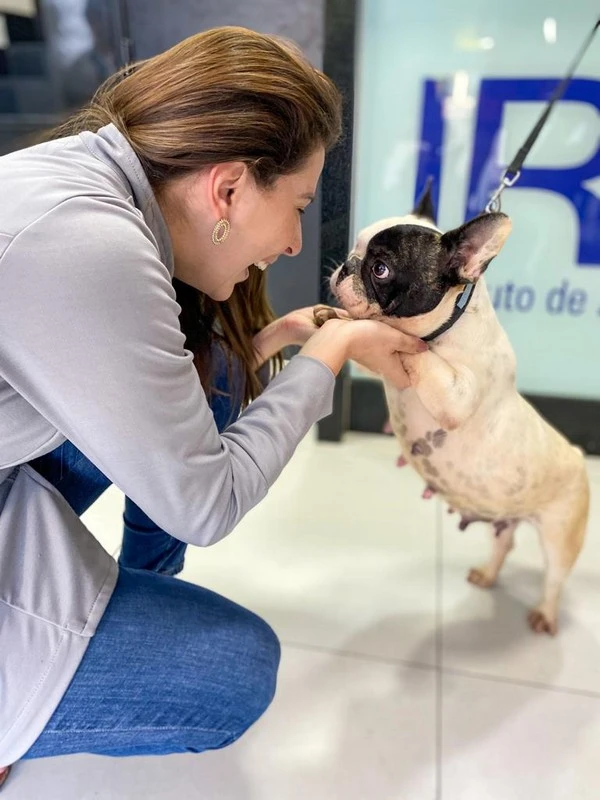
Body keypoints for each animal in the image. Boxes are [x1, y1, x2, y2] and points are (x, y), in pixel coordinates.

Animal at [326, 184, 588, 636]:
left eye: (380, 269)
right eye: (354, 248)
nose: (346, 266)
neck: (449, 322)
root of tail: (576, 456)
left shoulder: (456, 393)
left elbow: (417, 352)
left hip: (560, 535)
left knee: (554, 578)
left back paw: (545, 614)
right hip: (505, 518)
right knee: (504, 543)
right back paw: (488, 573)